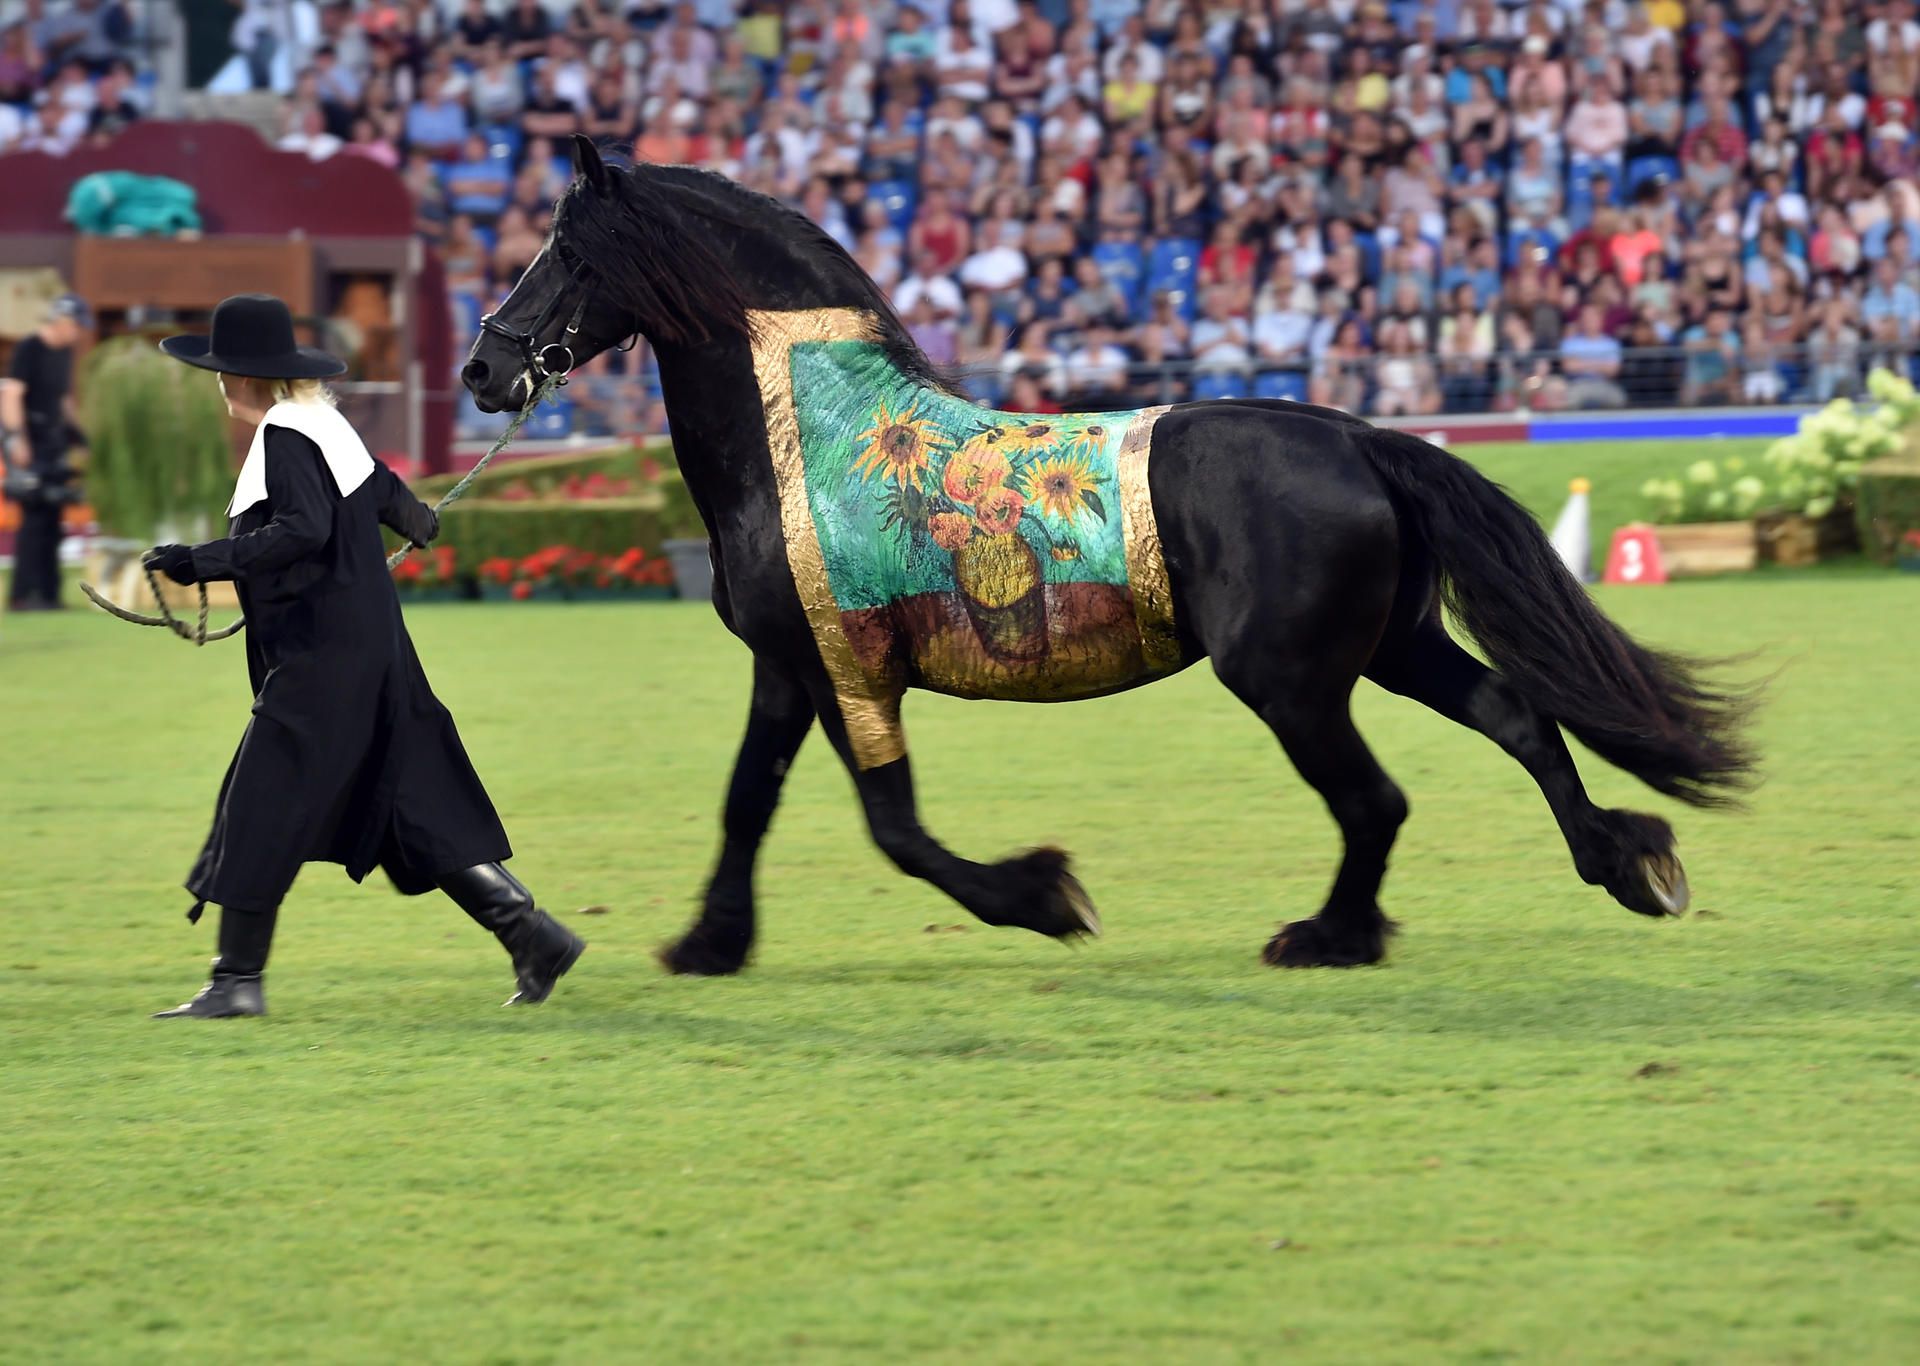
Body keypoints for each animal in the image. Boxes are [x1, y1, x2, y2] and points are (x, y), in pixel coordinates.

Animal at [461, 135, 1755, 974]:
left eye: (567, 249)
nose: (484, 366)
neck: (807, 434)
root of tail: (1358, 436)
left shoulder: (850, 670)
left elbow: (895, 831)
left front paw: (1042, 896)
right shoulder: (789, 665)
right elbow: (747, 801)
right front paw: (710, 941)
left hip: (1288, 679)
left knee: (1376, 797)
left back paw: (1328, 937)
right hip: (1391, 648)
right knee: (1518, 719)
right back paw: (1624, 860)